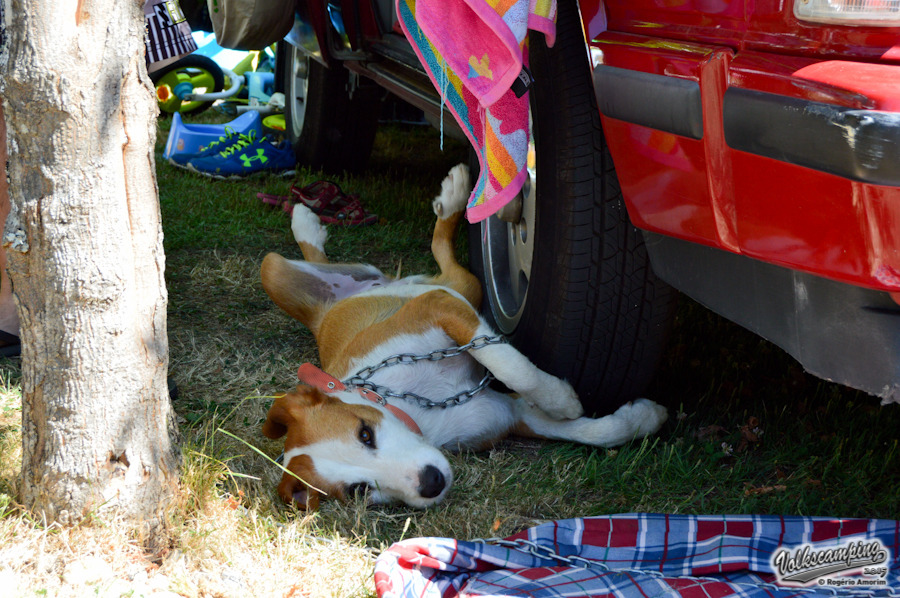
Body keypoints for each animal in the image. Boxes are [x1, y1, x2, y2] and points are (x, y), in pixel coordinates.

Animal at [256, 164, 664, 510]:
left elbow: (514, 367)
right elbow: (593, 431)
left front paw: (562, 399)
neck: (416, 409)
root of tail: (326, 313)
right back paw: (309, 220)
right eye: (359, 490)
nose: (430, 482)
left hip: (286, 271)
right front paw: (645, 417)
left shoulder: (438, 307)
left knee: (440, 251)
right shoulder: (507, 415)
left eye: (365, 433)